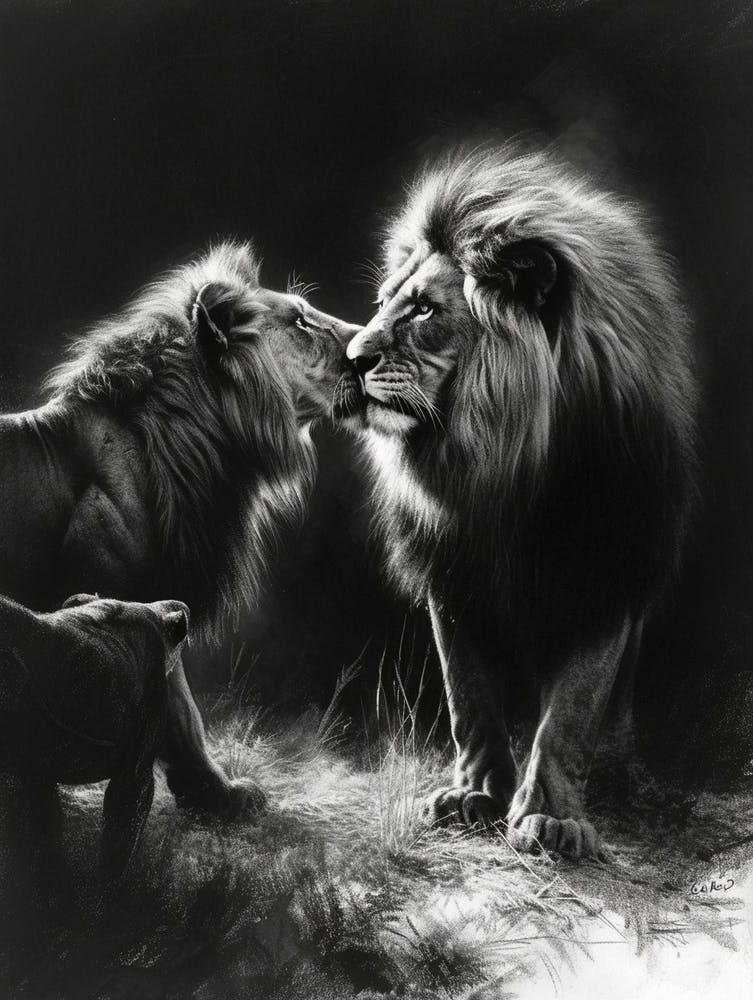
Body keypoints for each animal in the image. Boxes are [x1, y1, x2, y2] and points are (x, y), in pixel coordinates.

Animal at [0, 241, 360, 817]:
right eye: (301, 322)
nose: (375, 346)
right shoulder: (126, 602)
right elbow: (180, 708)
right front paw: (219, 793)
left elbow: (180, 708)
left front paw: (210, 792)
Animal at [344, 146, 698, 859]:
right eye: (385, 304)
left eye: (424, 311)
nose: (350, 356)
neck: (504, 466)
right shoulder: (452, 574)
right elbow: (470, 699)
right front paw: (475, 796)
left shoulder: (608, 573)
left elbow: (569, 715)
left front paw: (551, 819)